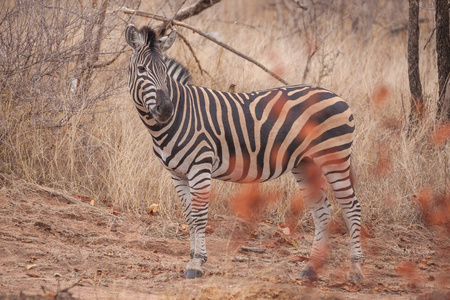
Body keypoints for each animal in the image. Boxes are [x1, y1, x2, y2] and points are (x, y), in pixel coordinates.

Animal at [125, 25, 364, 282]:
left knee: (351, 208)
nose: (166, 110)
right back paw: (311, 268)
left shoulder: (200, 167)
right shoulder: (177, 173)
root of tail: (337, 96)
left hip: (334, 158)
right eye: (141, 70)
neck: (179, 116)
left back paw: (355, 270)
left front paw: (196, 263)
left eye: (164, 72)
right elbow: (189, 215)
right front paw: (194, 257)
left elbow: (199, 215)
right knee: (323, 212)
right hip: (305, 164)